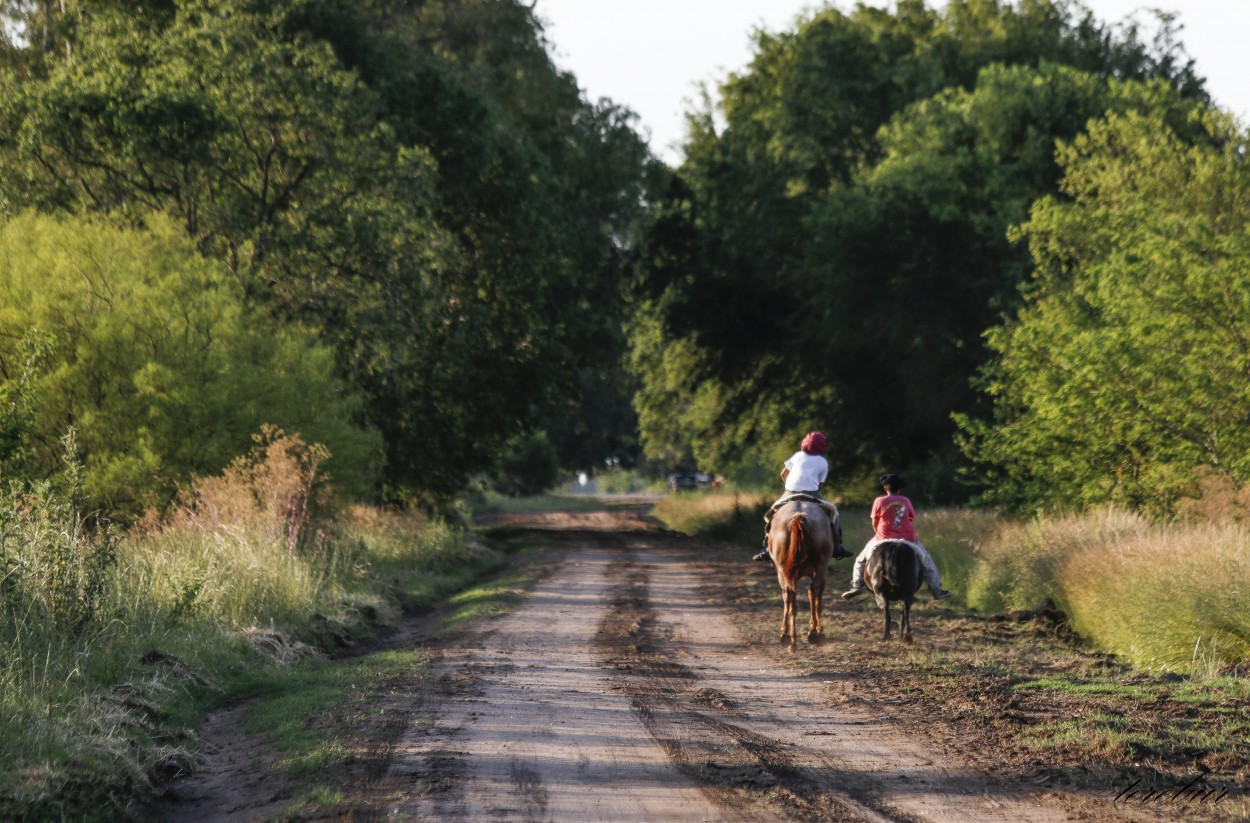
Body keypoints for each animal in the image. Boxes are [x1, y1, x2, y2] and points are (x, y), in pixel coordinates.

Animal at [765, 497, 835, 645]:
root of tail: (799, 517)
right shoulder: (822, 573)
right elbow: (816, 598)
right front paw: (817, 628)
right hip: (820, 567)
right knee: (811, 591)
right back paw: (810, 633)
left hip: (783, 571)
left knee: (789, 594)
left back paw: (788, 634)